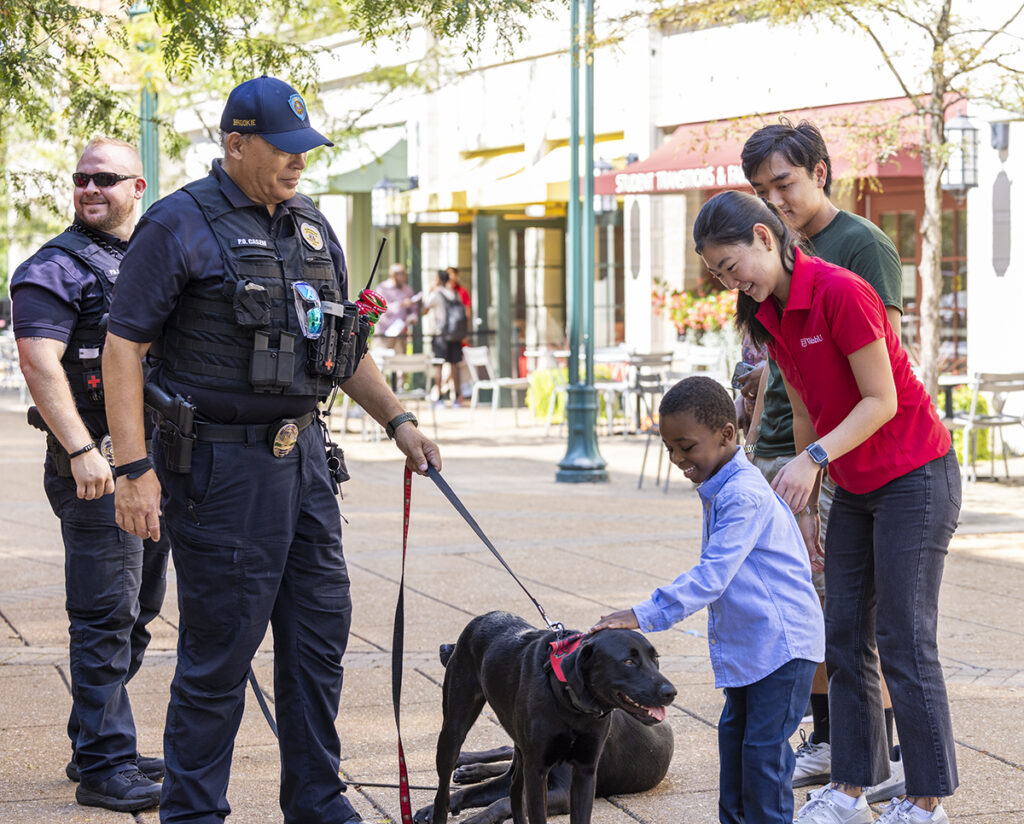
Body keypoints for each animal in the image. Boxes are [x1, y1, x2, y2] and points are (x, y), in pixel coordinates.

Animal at [419, 610, 675, 822]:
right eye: (629, 661)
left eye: (655, 660)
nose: (671, 692)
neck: (571, 705)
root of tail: (485, 616)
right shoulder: (538, 772)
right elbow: (475, 794)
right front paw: (435, 809)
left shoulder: (581, 776)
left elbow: (503, 801)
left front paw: (478, 817)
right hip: (454, 728)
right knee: (453, 781)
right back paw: (464, 766)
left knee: (509, 764)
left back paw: (471, 768)